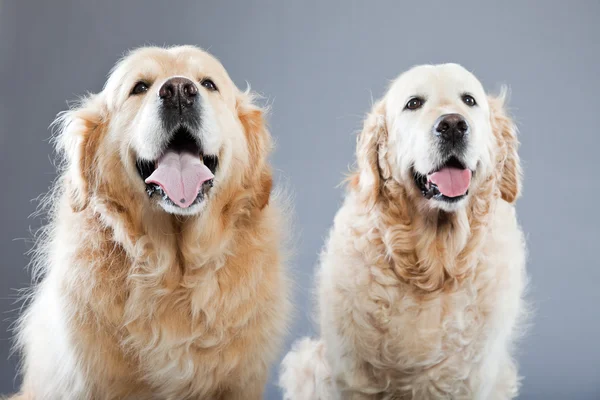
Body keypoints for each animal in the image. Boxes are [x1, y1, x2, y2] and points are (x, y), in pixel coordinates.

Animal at [278, 64, 528, 398]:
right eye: (414, 103)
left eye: (469, 100)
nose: (452, 125)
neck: (434, 263)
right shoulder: (354, 377)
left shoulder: (471, 376)